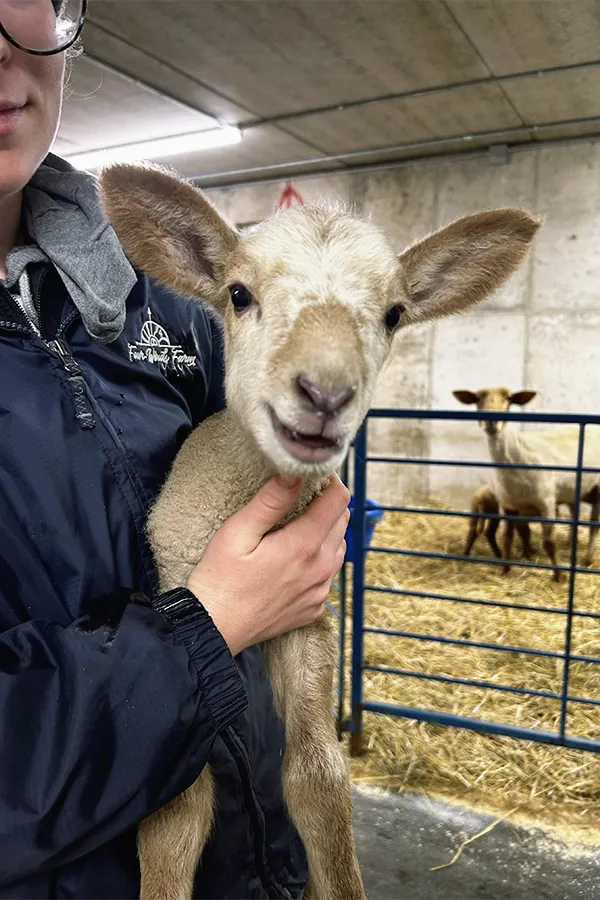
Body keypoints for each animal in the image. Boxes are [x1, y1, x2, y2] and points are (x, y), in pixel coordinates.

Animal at [99, 161, 539, 900]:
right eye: (238, 294)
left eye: (393, 314)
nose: (325, 394)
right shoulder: (186, 615)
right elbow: (177, 811)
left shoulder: (310, 622)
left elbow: (317, 777)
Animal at [454, 388, 600, 582]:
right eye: (477, 399)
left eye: (508, 399)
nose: (491, 422)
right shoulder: (508, 506)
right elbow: (507, 537)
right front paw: (505, 569)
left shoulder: (546, 504)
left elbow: (549, 542)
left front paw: (558, 576)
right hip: (573, 492)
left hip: (598, 489)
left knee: (594, 526)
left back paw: (587, 559)